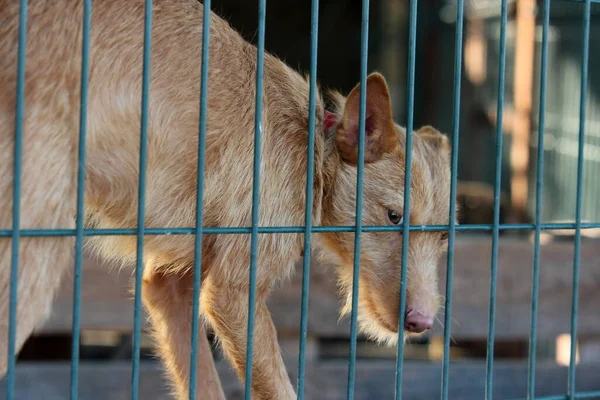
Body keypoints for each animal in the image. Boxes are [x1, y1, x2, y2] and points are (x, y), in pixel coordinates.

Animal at [0, 0, 450, 398]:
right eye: (393, 217)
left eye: (444, 237)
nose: (422, 322)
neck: (314, 148)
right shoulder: (233, 294)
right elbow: (279, 388)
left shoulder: (170, 286)